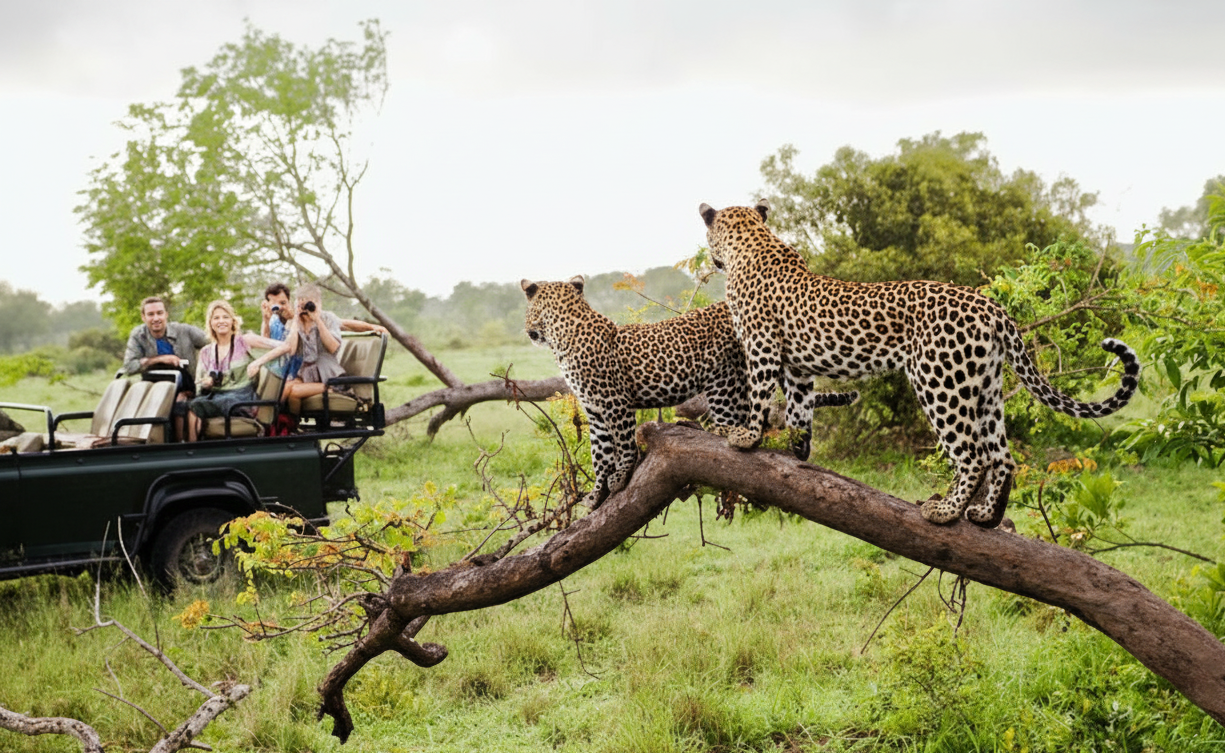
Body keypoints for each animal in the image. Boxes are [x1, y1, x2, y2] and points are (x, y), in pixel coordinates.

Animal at [522, 275, 858, 508]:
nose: (527, 331)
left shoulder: (615, 403)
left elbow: (623, 445)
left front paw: (620, 477)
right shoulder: (594, 410)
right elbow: (600, 454)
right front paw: (596, 493)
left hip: (723, 381)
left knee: (733, 425)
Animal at [697, 199, 1140, 528]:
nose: (712, 258)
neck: (752, 242)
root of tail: (993, 307)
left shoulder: (761, 346)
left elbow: (759, 395)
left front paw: (746, 436)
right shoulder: (798, 366)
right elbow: (799, 408)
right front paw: (799, 448)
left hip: (939, 382)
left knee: (973, 455)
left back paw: (945, 512)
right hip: (985, 387)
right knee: (1002, 456)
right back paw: (985, 516)